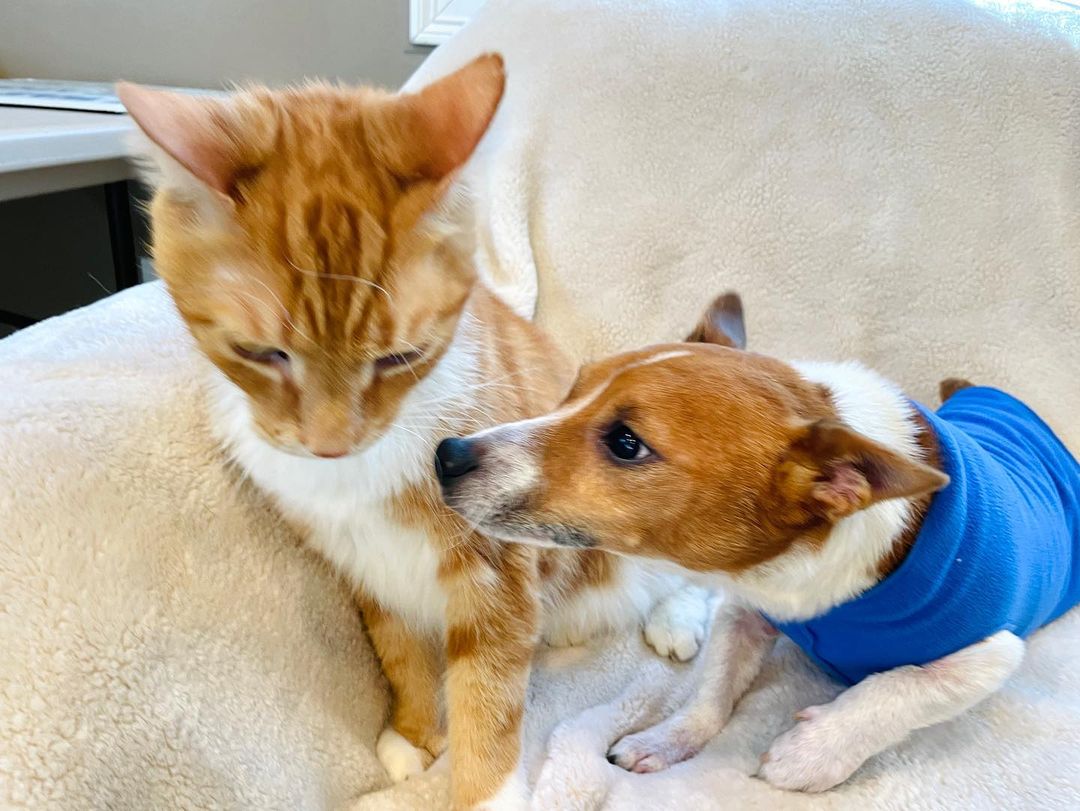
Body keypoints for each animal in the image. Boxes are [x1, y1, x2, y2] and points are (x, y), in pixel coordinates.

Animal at [118, 58, 708, 811]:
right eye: (260, 353)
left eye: (400, 356)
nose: (331, 442)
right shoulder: (358, 558)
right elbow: (397, 644)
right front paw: (415, 732)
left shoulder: (495, 567)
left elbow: (488, 693)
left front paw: (482, 788)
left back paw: (677, 619)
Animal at [438, 293, 1036, 794]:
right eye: (574, 388)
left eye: (626, 443)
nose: (446, 454)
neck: (798, 582)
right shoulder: (745, 610)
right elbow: (714, 687)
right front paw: (667, 740)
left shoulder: (991, 654)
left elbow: (899, 688)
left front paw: (811, 753)